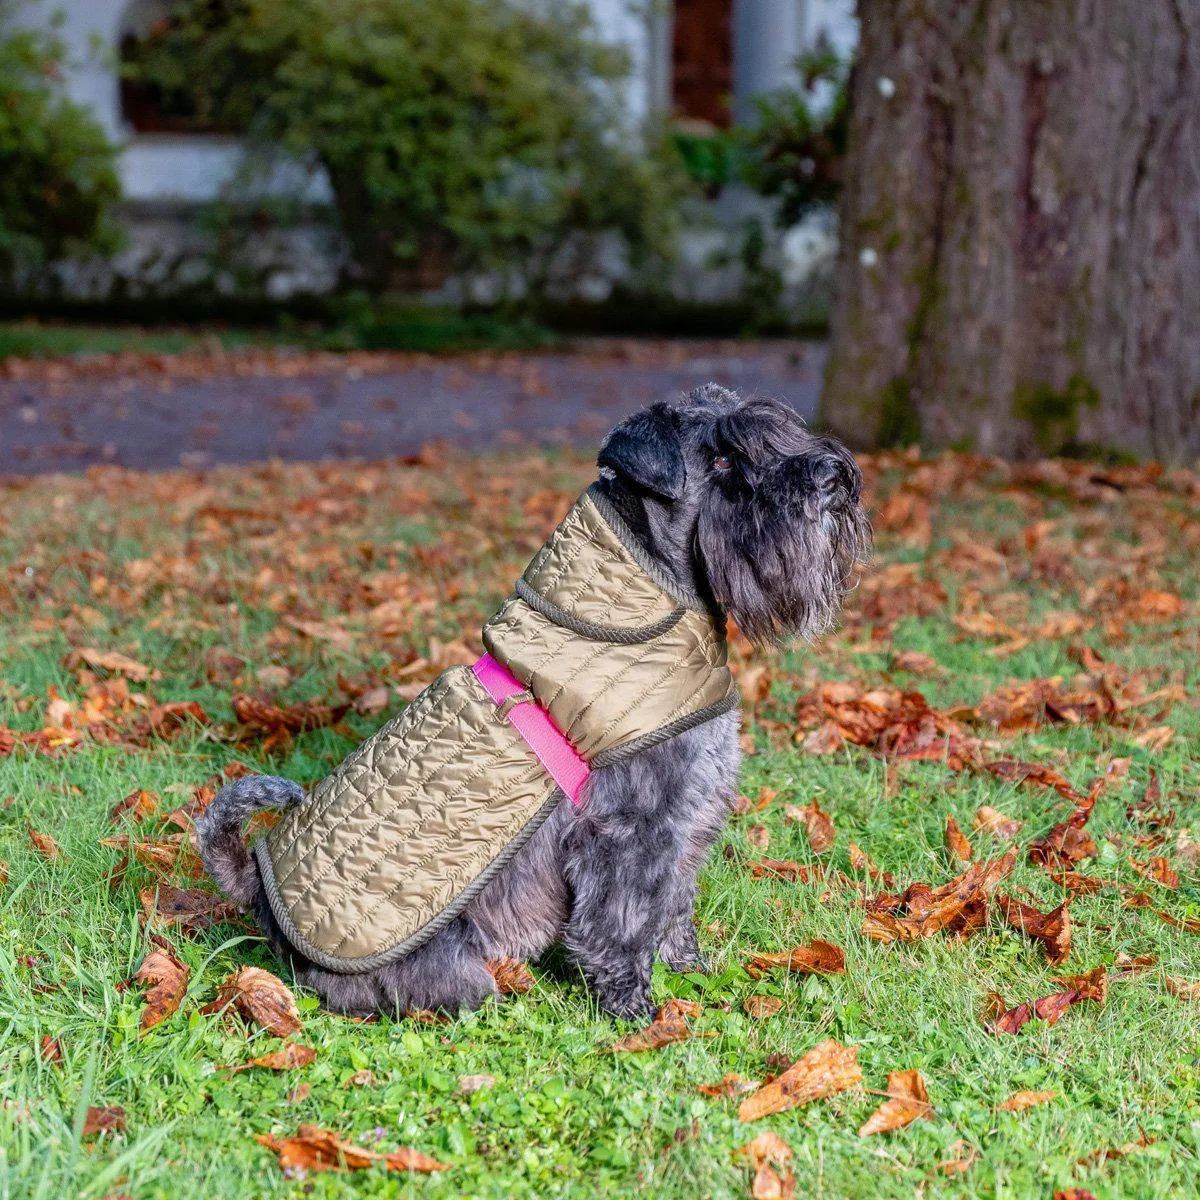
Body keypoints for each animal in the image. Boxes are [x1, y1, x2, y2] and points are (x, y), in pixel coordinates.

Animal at [199, 386, 873, 1022]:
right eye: (723, 458)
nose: (833, 476)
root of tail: (258, 893)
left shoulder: (685, 819)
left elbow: (675, 906)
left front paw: (693, 974)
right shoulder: (629, 830)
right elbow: (624, 924)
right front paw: (634, 1011)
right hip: (455, 972)